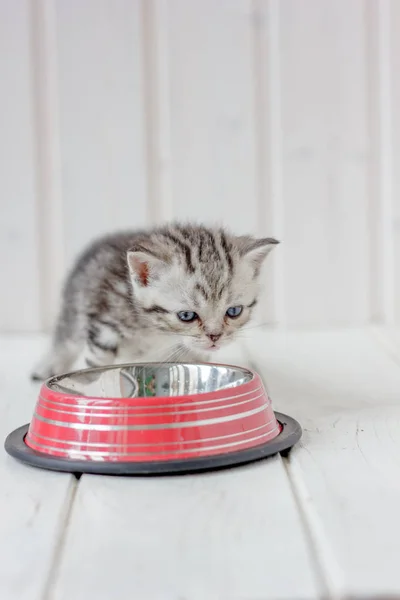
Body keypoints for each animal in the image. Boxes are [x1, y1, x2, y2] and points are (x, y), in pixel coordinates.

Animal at [32, 223, 278, 382]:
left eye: (234, 311)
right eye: (187, 316)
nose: (215, 337)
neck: (156, 332)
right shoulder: (103, 330)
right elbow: (100, 371)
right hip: (75, 307)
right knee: (66, 338)